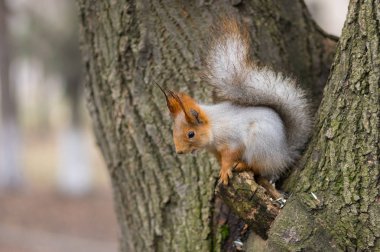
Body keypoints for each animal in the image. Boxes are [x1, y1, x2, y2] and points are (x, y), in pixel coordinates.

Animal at [154, 18, 312, 199]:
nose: (179, 152)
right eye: (173, 131)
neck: (213, 127)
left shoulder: (232, 141)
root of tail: (284, 155)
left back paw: (243, 165)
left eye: (191, 134)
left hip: (260, 145)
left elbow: (230, 156)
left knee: (258, 167)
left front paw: (225, 171)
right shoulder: (216, 151)